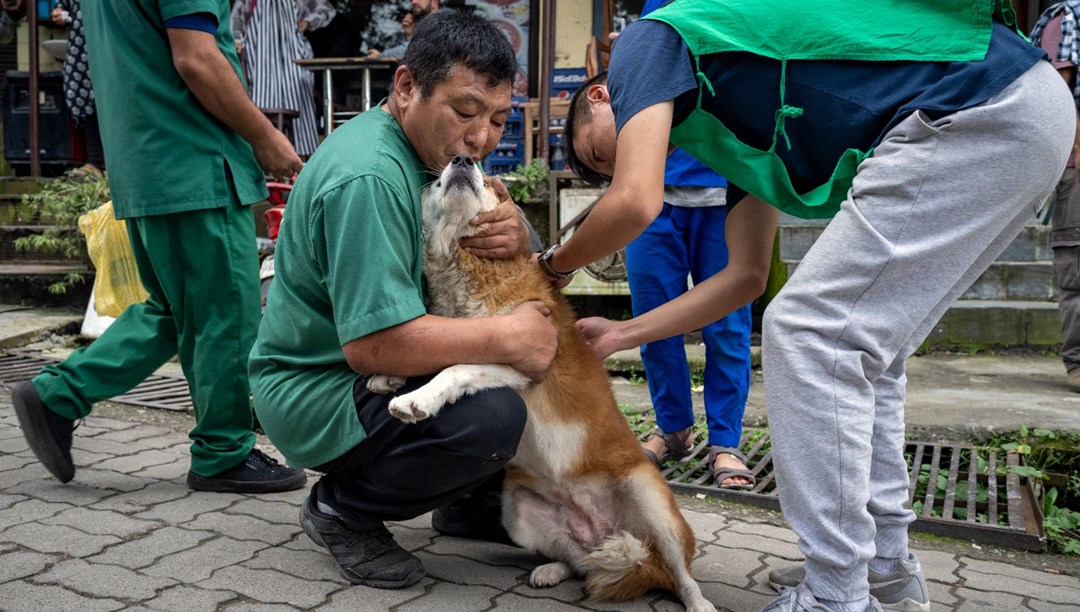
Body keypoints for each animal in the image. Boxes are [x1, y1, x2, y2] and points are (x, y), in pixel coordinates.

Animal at [369, 155, 717, 608]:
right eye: (436, 181)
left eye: (490, 181)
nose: (463, 158)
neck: (473, 269)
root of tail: (609, 533)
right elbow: (430, 351)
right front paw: (387, 374)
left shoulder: (527, 358)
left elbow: (454, 368)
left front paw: (417, 400)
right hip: (517, 512)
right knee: (581, 560)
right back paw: (553, 570)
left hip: (653, 502)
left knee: (678, 572)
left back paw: (697, 601)